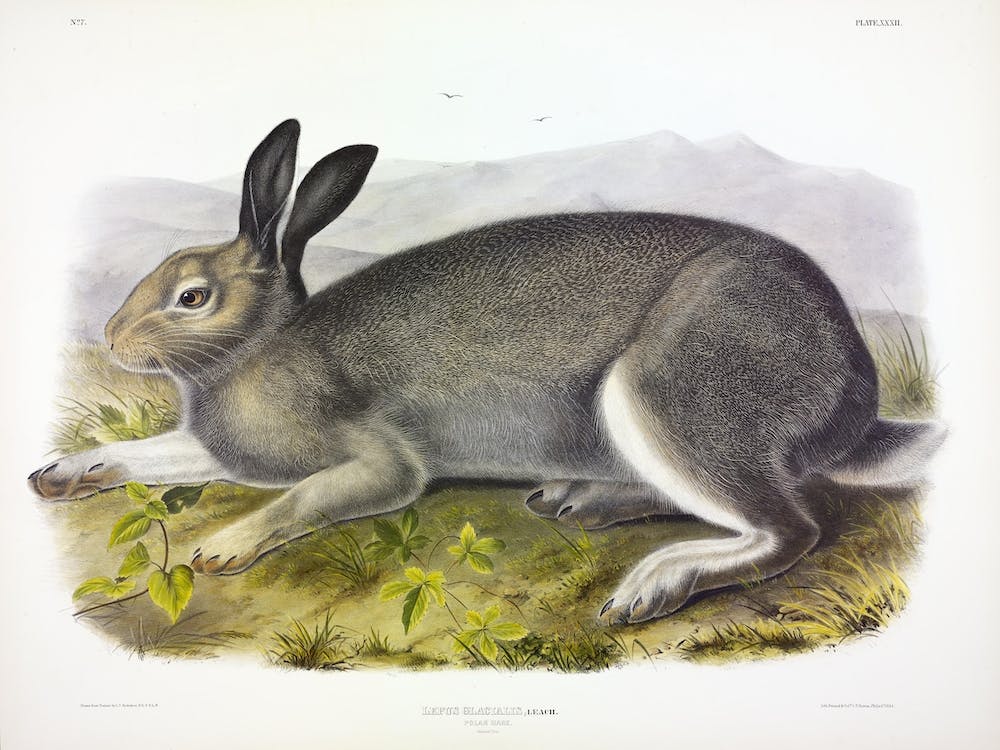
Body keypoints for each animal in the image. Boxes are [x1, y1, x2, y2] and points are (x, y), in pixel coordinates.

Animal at [28, 119, 945, 624]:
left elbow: (312, 497)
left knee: (788, 528)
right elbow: (149, 455)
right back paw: (580, 500)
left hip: (667, 393)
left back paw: (651, 583)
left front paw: (222, 548)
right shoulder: (214, 450)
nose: (112, 336)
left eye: (191, 295)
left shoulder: (378, 462)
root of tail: (853, 398)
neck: (260, 347)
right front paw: (59, 475)